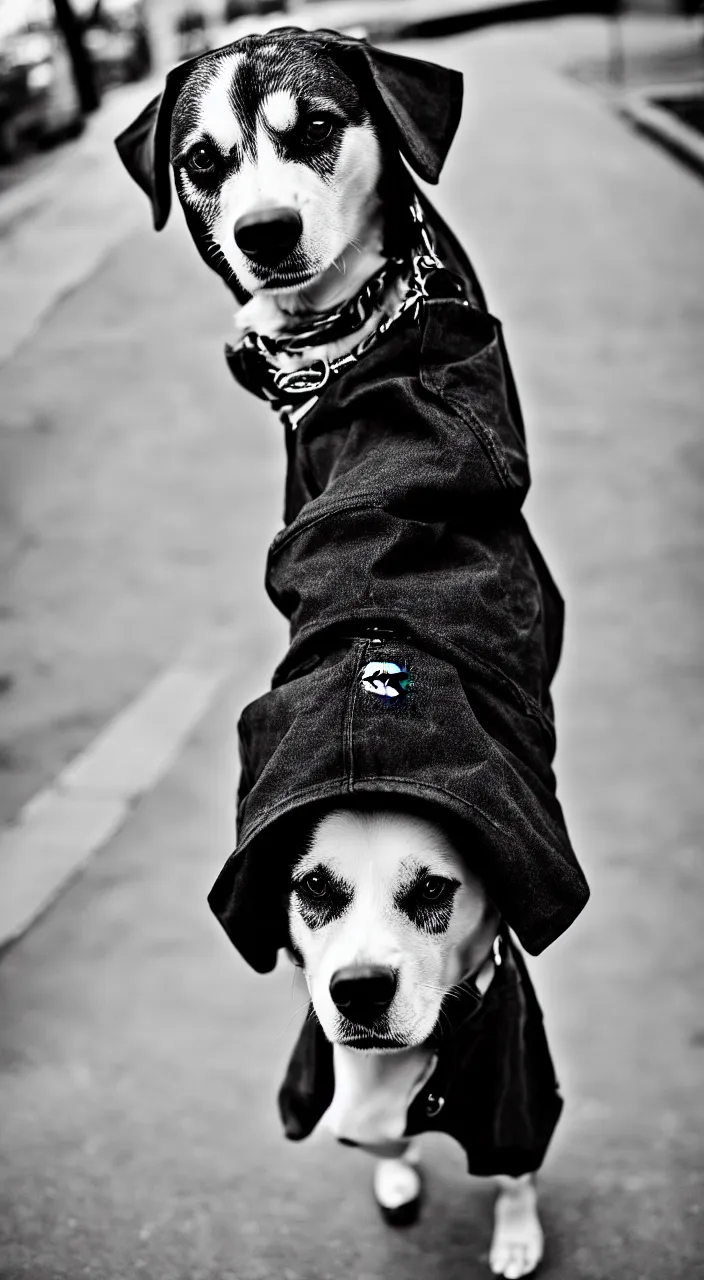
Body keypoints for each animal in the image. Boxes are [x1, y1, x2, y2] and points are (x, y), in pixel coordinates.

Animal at [115, 24, 591, 1274]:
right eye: (200, 160)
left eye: (317, 127)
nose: (262, 231)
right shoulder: (327, 1055)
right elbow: (366, 1122)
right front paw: (388, 1159)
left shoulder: (511, 1065)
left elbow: (513, 1160)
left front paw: (513, 1232)